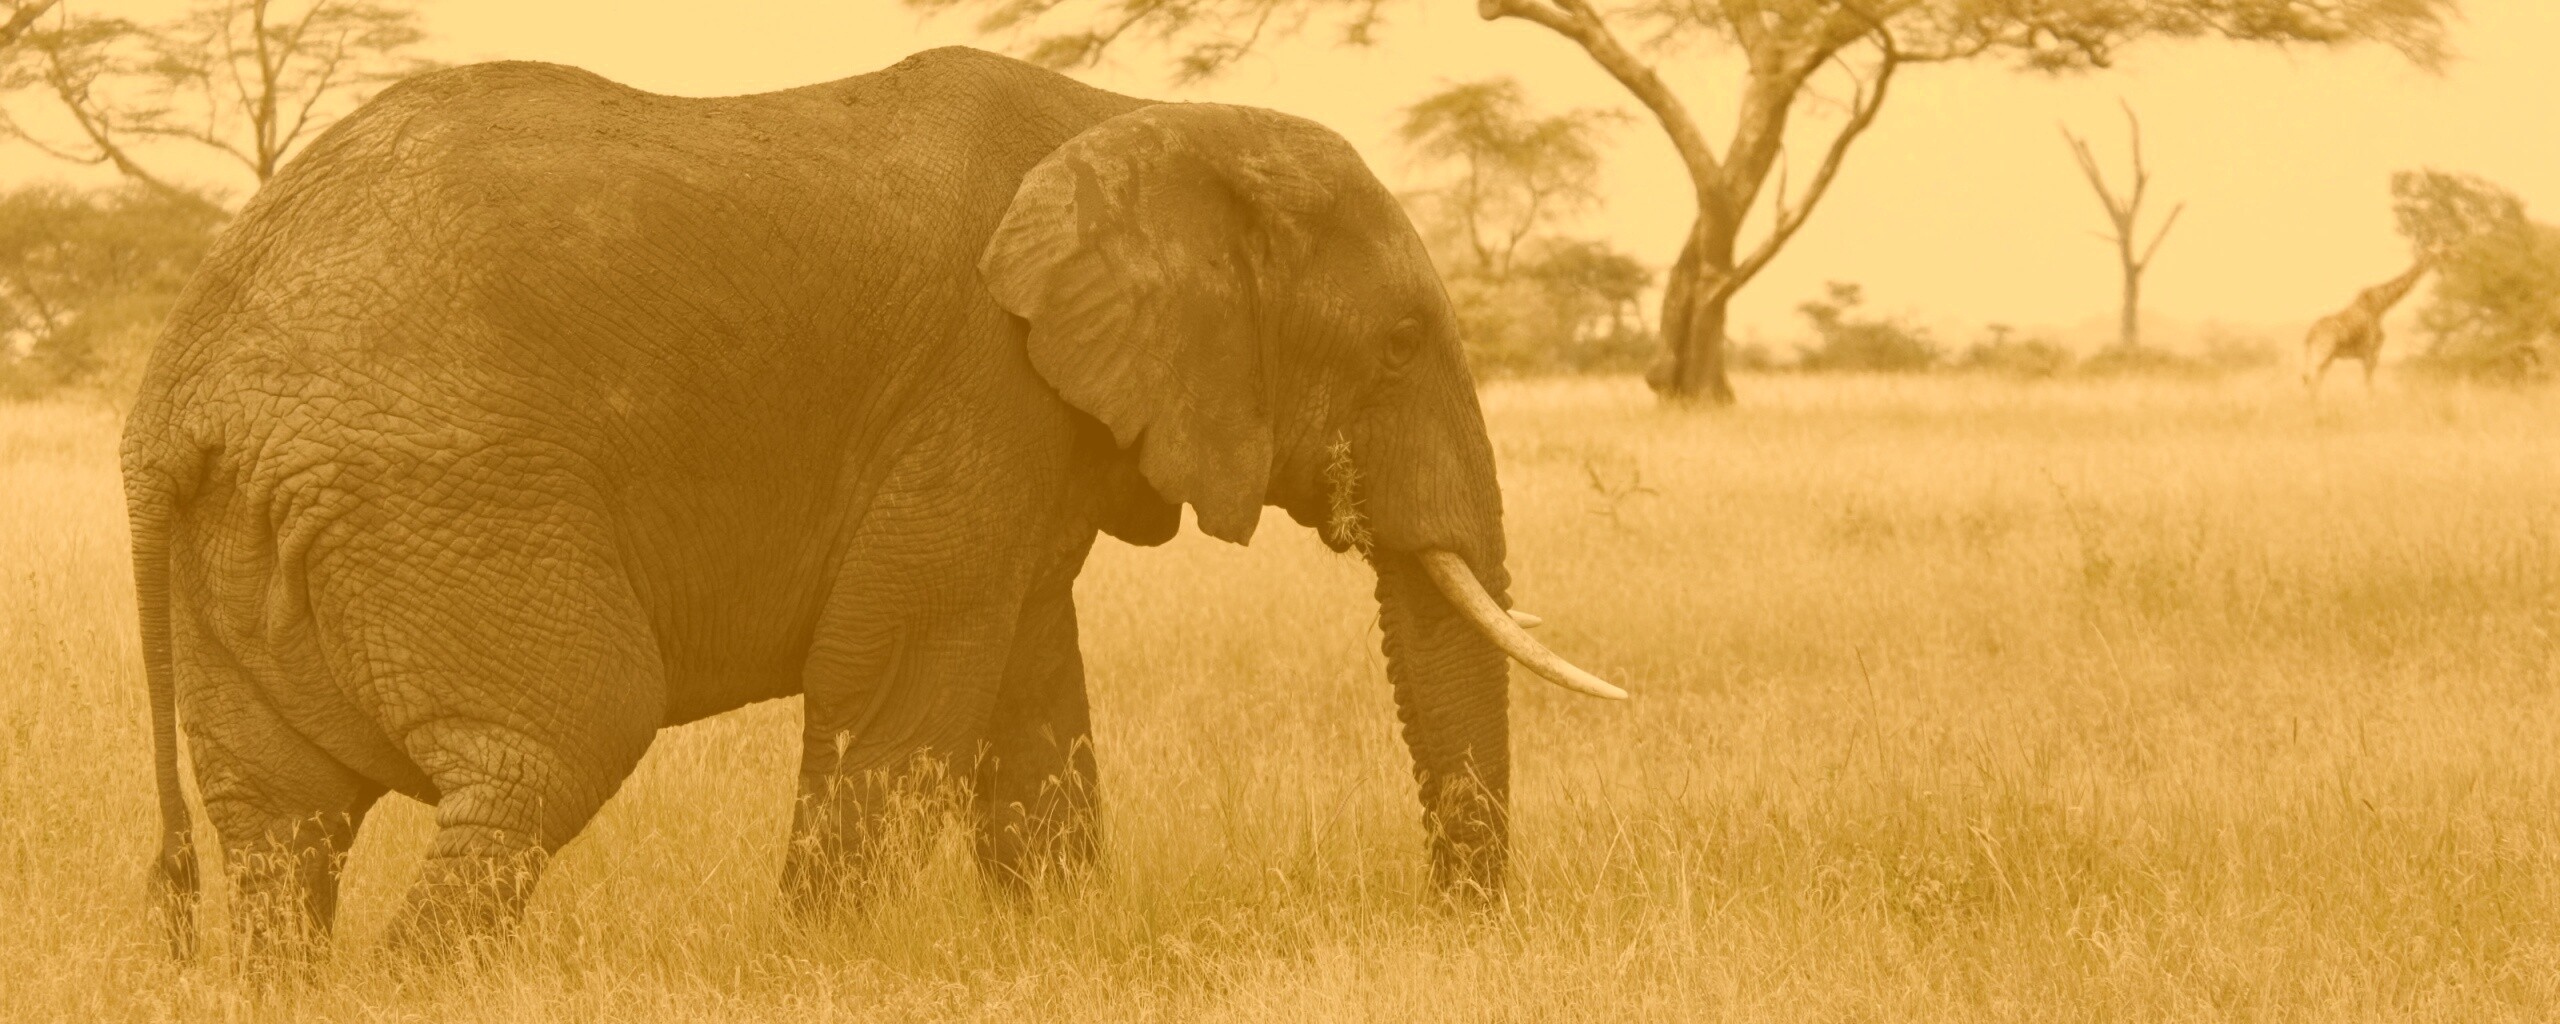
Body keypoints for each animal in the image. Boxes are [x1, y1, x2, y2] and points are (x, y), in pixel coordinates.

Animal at [120, 45, 1622, 957]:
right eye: (1397, 346)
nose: (1456, 927)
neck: (1130, 117)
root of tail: (175, 388)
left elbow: (1028, 691)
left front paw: (1049, 950)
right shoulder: (974, 388)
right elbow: (899, 678)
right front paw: (822, 966)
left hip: (260, 537)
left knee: (281, 831)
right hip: (440, 496)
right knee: (551, 748)